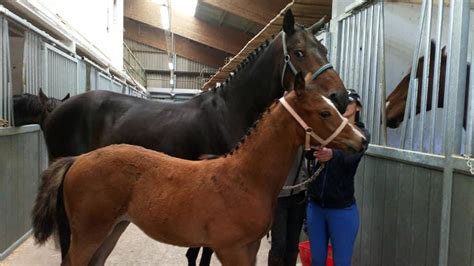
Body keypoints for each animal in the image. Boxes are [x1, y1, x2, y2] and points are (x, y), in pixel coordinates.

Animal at [42, 9, 348, 266]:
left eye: (323, 48)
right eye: (298, 52)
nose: (340, 98)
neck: (229, 109)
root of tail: (55, 112)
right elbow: (199, 253)